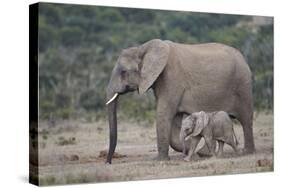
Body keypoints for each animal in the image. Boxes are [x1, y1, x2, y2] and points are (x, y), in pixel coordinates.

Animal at [105, 39, 254, 163]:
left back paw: (247, 152)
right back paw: (204, 153)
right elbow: (174, 119)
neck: (143, 48)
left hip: (243, 85)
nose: (108, 162)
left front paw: (159, 160)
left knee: (246, 120)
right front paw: (191, 149)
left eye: (123, 72)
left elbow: (164, 114)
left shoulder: (172, 78)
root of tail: (243, 58)